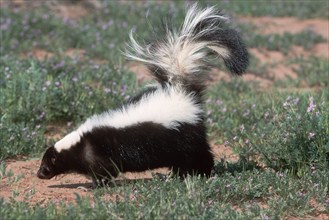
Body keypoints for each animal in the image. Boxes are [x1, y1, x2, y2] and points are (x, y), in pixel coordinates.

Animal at [36, 3, 246, 187]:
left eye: (46, 164)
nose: (39, 174)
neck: (78, 143)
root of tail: (181, 91)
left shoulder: (98, 153)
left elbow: (105, 171)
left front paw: (93, 186)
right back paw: (177, 176)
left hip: (184, 136)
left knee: (197, 155)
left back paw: (202, 173)